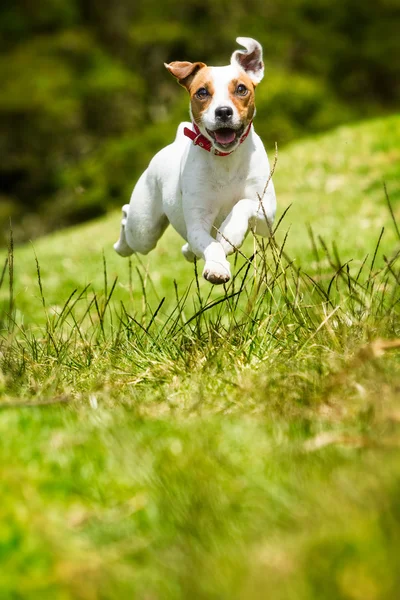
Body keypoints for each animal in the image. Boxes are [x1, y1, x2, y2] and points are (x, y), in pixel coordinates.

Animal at [112, 38, 276, 286]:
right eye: (202, 92)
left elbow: (243, 205)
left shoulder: (267, 213)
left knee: (186, 247)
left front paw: (230, 232)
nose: (223, 112)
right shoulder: (197, 222)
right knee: (127, 217)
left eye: (241, 89)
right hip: (143, 229)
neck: (225, 160)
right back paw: (120, 245)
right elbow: (210, 245)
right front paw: (217, 267)